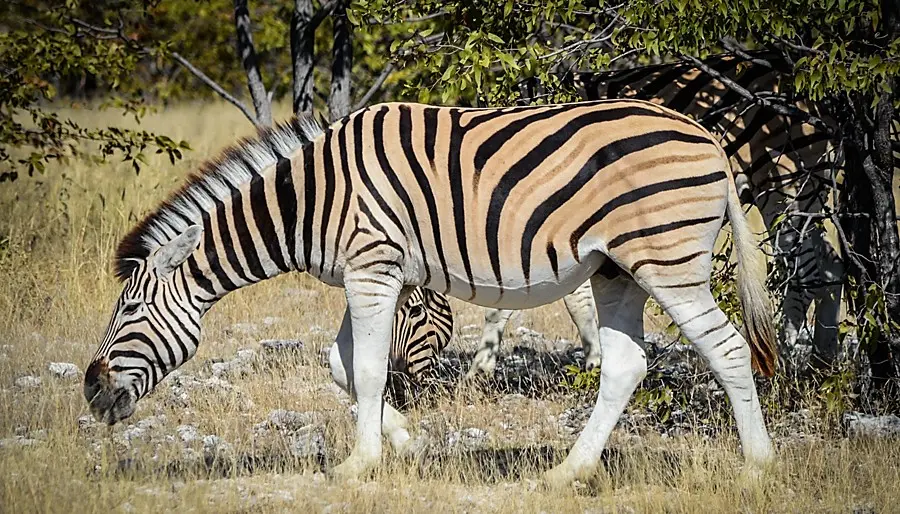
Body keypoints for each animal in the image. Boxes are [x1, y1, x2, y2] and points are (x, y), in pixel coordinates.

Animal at [85, 100, 776, 486]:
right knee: (627, 365)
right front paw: (403, 442)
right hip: (616, 270)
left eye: (132, 310)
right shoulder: (367, 272)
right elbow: (341, 366)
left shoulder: (373, 266)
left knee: (728, 349)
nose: (91, 393)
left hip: (667, 261)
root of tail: (708, 136)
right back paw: (567, 474)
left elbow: (365, 368)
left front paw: (356, 465)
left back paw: (758, 468)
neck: (314, 199)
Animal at [466, 53, 843, 378]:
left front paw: (480, 368)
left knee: (806, 270)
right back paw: (823, 358)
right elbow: (573, 298)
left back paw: (789, 357)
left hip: (785, 184)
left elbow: (510, 295)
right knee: (830, 263)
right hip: (800, 192)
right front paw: (593, 358)